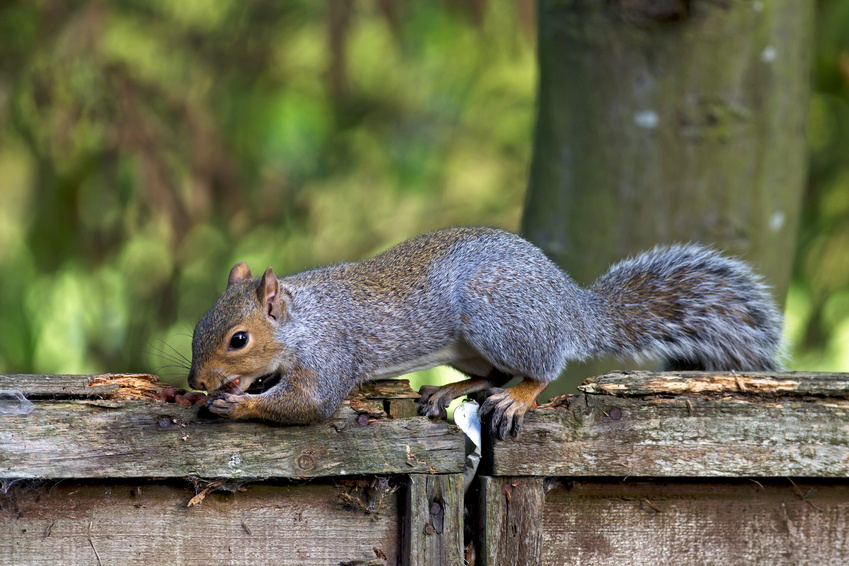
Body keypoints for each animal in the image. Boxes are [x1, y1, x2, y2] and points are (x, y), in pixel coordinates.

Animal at [187, 226, 780, 440]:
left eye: (238, 339)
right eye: (197, 325)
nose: (197, 381)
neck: (302, 320)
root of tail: (570, 308)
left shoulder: (332, 354)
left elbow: (310, 402)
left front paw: (237, 405)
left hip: (498, 319)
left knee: (538, 369)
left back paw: (519, 397)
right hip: (472, 346)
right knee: (490, 374)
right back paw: (449, 389)